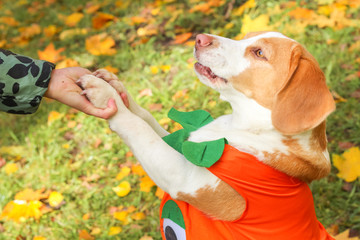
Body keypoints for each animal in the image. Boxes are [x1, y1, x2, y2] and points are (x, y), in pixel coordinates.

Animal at [77, 31, 336, 239]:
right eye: (246, 37)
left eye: (259, 52)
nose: (200, 38)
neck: (242, 125)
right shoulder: (181, 144)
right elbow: (146, 118)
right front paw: (116, 86)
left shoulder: (185, 178)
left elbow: (136, 126)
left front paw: (105, 93)